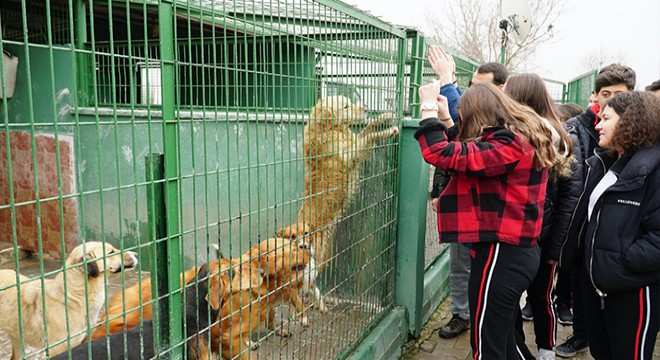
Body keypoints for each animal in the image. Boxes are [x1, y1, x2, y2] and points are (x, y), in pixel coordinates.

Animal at [296, 95, 400, 270]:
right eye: (345, 106)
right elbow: (370, 137)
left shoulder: (354, 142)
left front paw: (385, 116)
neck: (331, 128)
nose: (366, 109)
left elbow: (368, 127)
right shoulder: (349, 156)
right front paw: (386, 131)